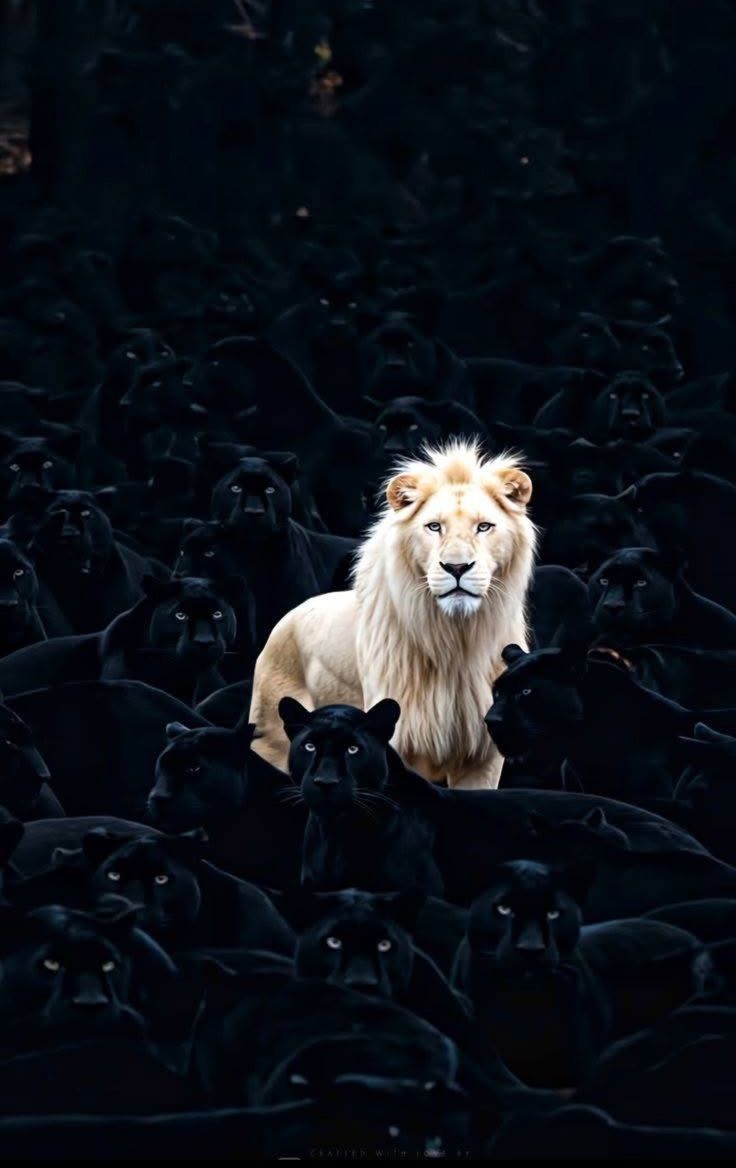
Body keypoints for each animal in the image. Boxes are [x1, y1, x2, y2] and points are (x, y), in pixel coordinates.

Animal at [249, 441, 537, 789]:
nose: (456, 567)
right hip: (272, 741)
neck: (455, 640)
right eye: (434, 526)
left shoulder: (482, 757)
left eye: (484, 527)